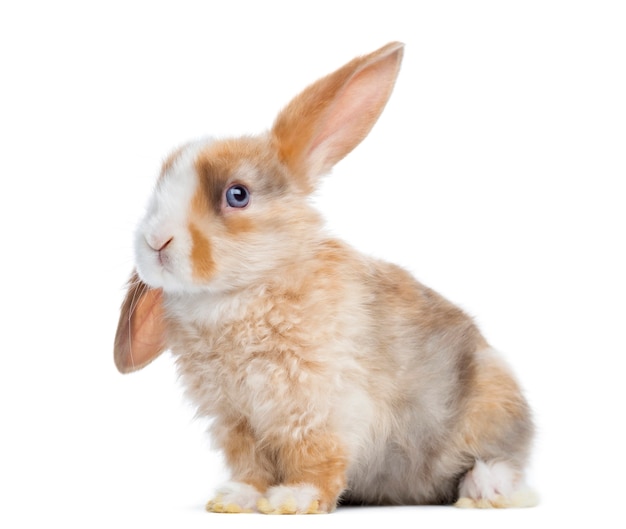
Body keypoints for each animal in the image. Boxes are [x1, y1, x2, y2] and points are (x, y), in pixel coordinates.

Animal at [112, 43, 532, 512]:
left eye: (237, 195)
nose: (155, 241)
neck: (239, 292)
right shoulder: (237, 421)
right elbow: (251, 465)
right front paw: (236, 499)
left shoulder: (318, 409)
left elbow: (315, 459)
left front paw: (291, 500)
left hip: (491, 403)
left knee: (503, 459)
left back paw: (484, 490)